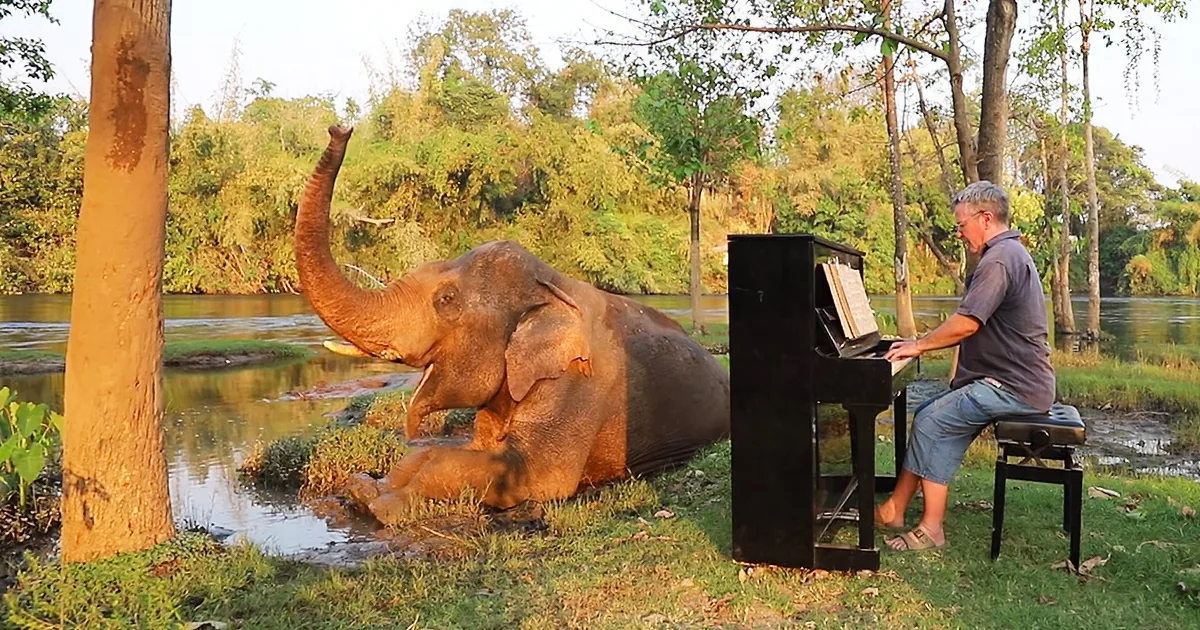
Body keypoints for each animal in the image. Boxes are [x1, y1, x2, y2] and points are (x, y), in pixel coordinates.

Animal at [294, 125, 731, 524]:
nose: (341, 128)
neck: (552, 284)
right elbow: (444, 453)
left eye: (446, 300)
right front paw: (362, 488)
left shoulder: (578, 384)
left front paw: (383, 506)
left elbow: (531, 475)